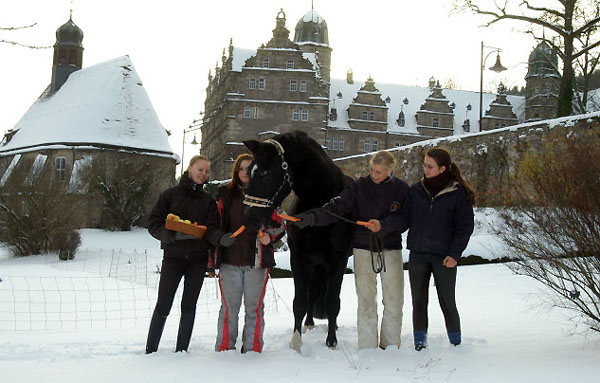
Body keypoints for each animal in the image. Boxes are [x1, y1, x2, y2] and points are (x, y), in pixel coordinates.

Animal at [241, 131, 352, 352]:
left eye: (267, 172)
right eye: (249, 171)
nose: (250, 218)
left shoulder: (338, 260)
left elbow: (332, 301)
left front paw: (331, 341)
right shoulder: (299, 258)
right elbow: (300, 302)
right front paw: (296, 342)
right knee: (312, 292)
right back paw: (309, 322)